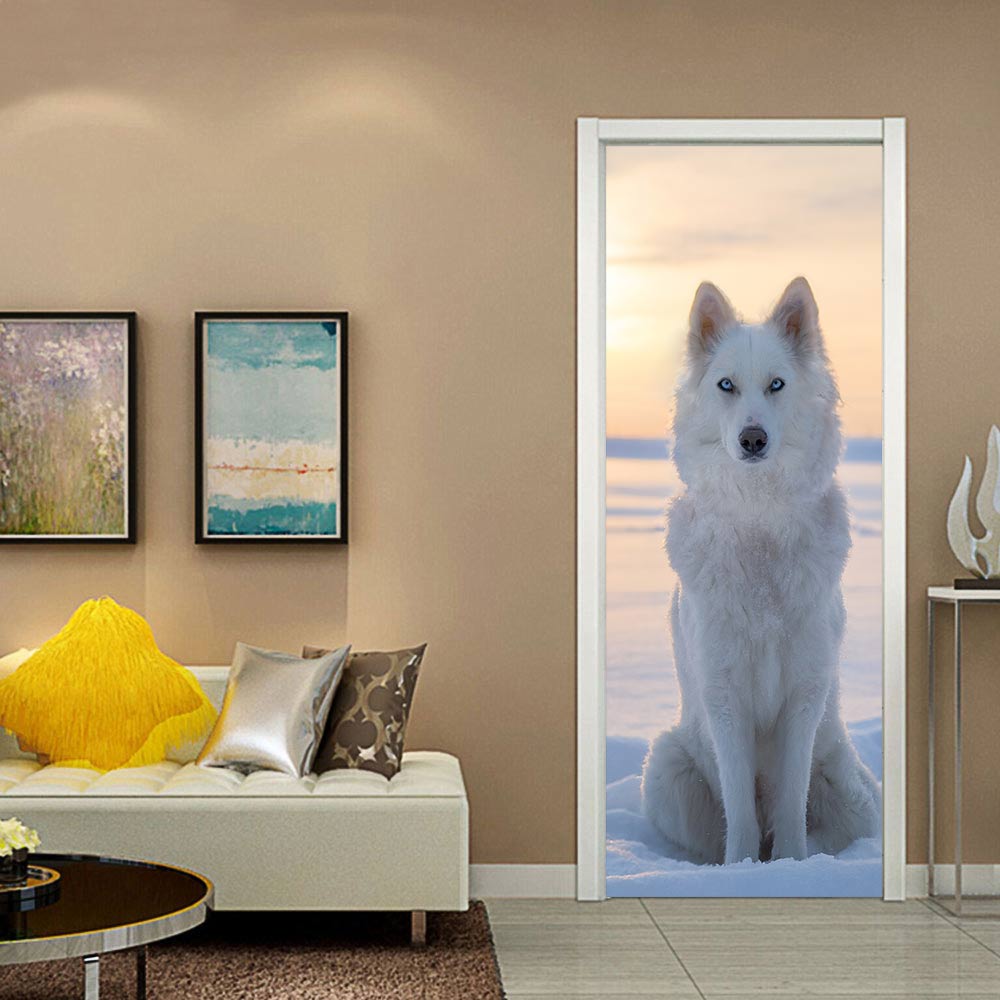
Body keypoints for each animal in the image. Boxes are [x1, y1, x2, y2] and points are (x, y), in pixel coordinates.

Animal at [641, 277, 881, 865]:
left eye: (776, 385)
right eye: (726, 385)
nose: (753, 439)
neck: (760, 523)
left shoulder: (805, 694)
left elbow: (791, 802)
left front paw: (790, 868)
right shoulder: (724, 696)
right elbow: (742, 812)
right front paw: (742, 870)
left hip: (852, 792)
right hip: (666, 768)